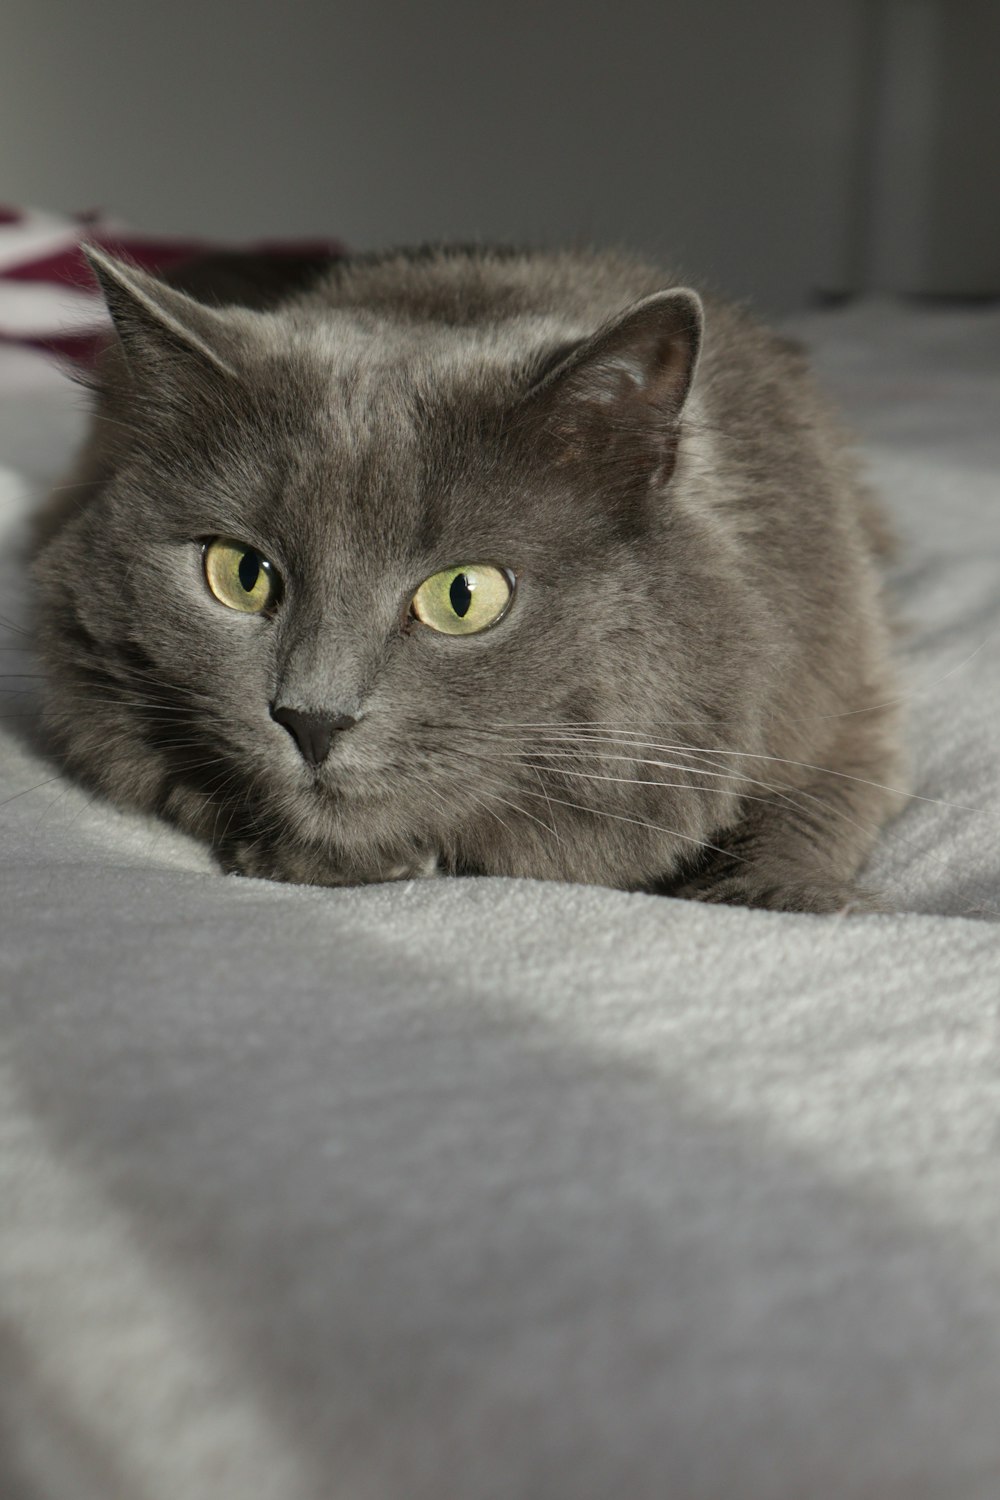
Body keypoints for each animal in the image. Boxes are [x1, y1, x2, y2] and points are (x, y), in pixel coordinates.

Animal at [31, 243, 905, 912]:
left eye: (464, 596)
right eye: (242, 573)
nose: (313, 719)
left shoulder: (840, 683)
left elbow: (822, 797)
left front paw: (769, 893)